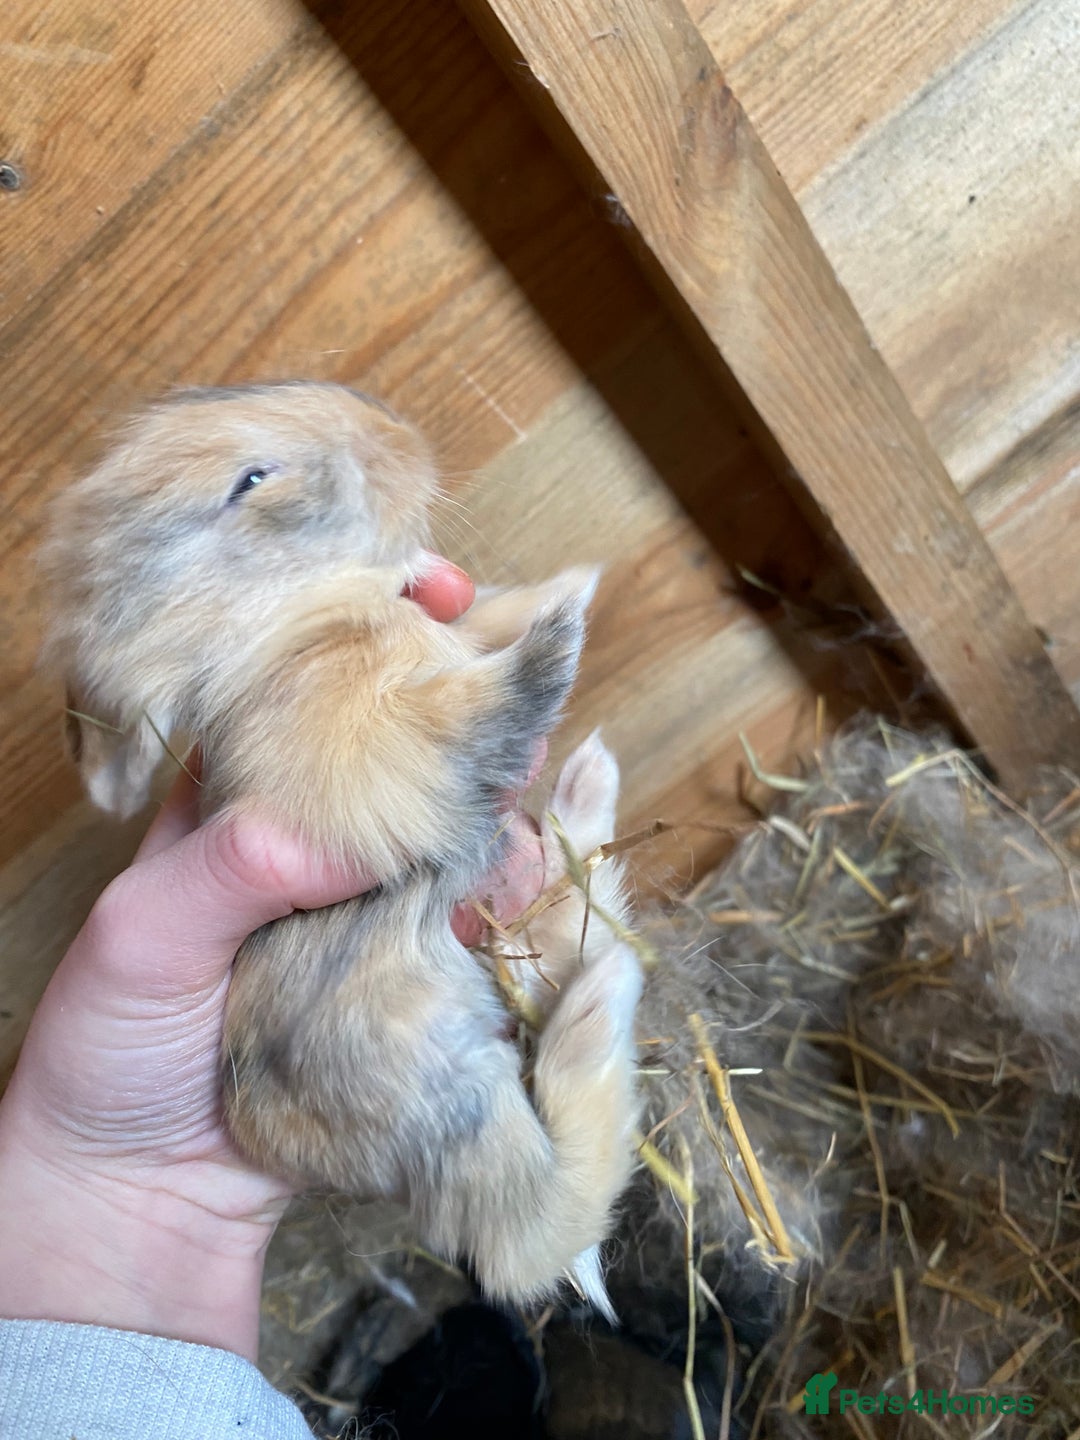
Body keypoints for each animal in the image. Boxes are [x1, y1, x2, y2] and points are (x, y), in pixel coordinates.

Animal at [40, 380, 642, 1314]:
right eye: (251, 479)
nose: (398, 435)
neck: (299, 622)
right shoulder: (364, 741)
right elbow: (469, 710)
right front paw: (564, 618)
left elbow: (480, 622)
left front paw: (560, 584)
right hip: (447, 1087)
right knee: (527, 1235)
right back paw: (600, 1003)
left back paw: (586, 804)